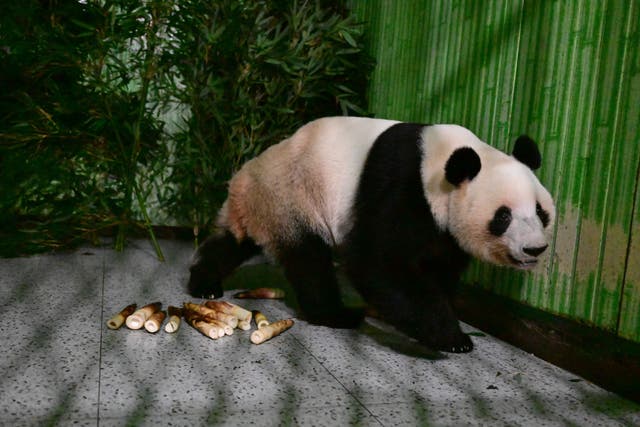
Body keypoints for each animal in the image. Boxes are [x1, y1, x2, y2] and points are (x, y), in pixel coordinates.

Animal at [187, 117, 555, 353]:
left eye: (541, 211)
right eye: (503, 216)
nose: (535, 249)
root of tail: (243, 177)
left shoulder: (444, 229)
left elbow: (438, 266)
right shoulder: (403, 186)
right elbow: (377, 261)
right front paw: (451, 336)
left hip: (265, 207)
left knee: (233, 243)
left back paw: (203, 282)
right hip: (292, 197)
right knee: (310, 260)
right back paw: (336, 314)